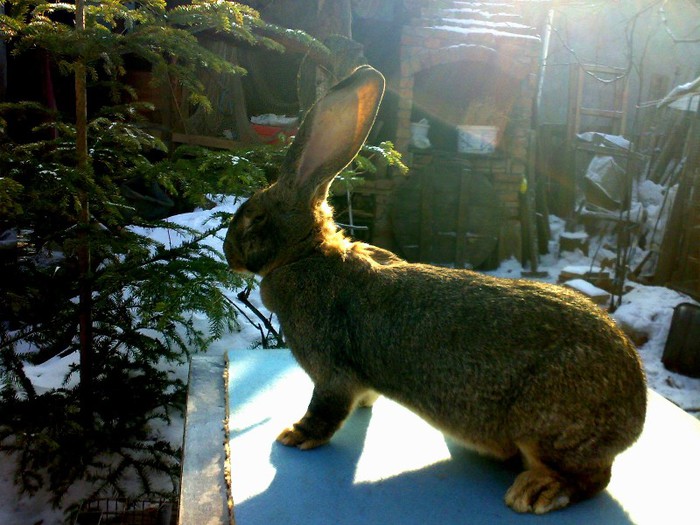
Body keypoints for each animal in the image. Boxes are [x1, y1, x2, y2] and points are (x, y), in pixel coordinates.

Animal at [224, 65, 644, 512]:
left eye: (254, 218)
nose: (228, 253)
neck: (306, 254)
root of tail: (636, 414)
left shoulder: (332, 371)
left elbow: (326, 409)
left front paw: (295, 435)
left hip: (547, 425)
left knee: (592, 478)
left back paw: (537, 491)